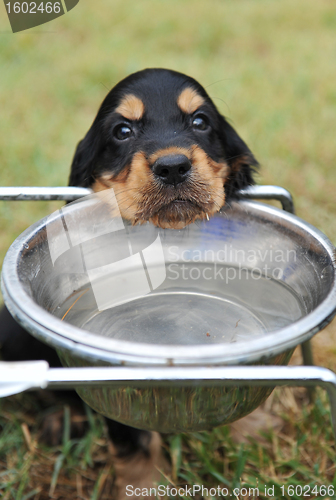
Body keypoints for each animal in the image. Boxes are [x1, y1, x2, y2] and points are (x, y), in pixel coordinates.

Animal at [0, 68, 258, 498]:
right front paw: (146, 486)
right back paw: (61, 421)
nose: (173, 166)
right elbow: (135, 439)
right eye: (122, 131)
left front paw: (249, 437)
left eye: (200, 122)